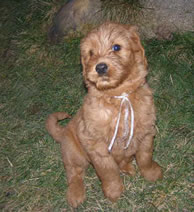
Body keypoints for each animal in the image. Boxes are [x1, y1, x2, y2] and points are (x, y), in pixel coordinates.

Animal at [46, 21, 163, 207]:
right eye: (91, 53)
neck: (118, 95)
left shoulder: (146, 131)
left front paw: (152, 173)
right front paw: (114, 192)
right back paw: (75, 194)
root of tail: (62, 132)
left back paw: (128, 168)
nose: (100, 67)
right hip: (73, 153)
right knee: (74, 173)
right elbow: (108, 171)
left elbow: (145, 157)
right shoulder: (96, 145)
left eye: (116, 47)